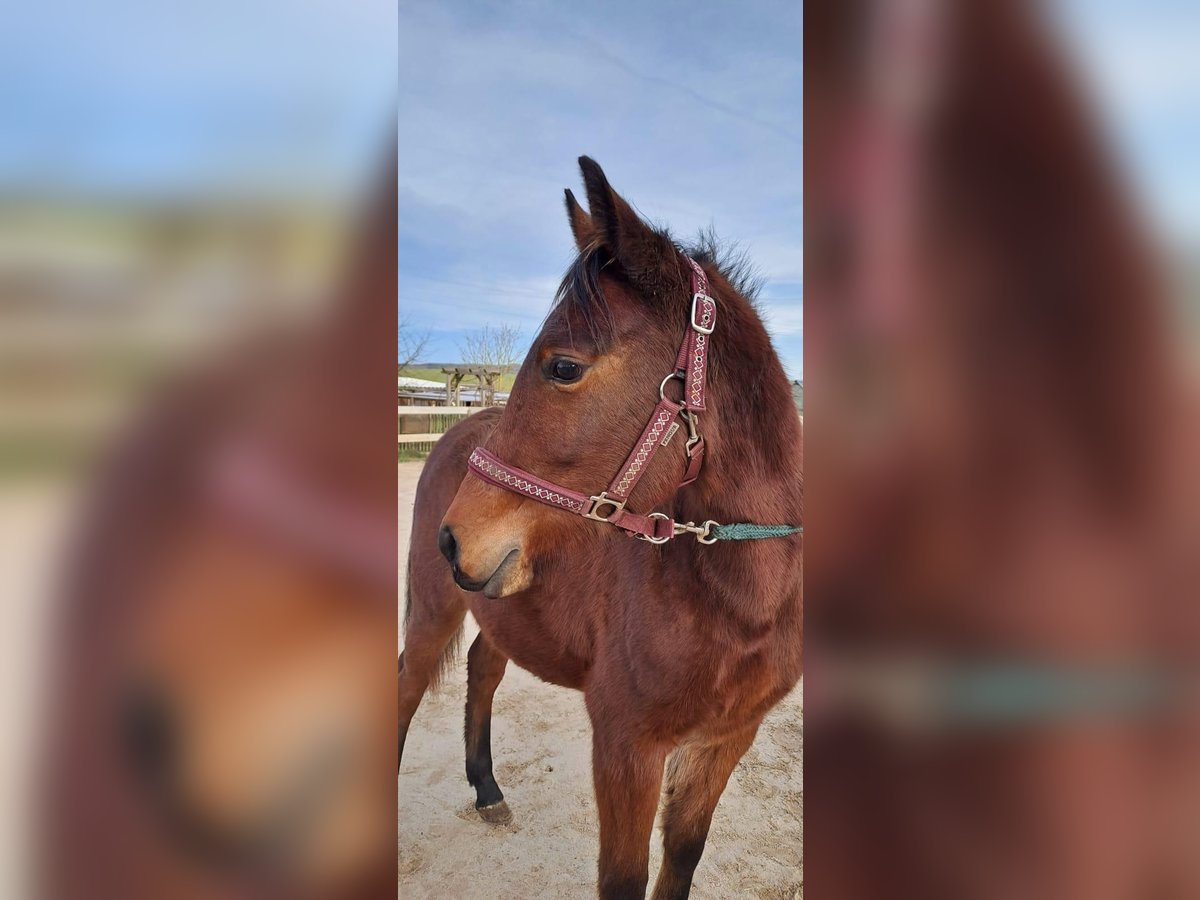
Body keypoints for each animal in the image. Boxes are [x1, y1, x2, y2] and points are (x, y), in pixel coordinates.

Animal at [398, 158, 801, 897]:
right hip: (435, 610)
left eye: (563, 366)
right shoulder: (626, 747)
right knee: (406, 688)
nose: (452, 538)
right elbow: (622, 879)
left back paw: (487, 789)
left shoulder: (726, 741)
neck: (738, 605)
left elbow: (684, 855)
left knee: (483, 669)